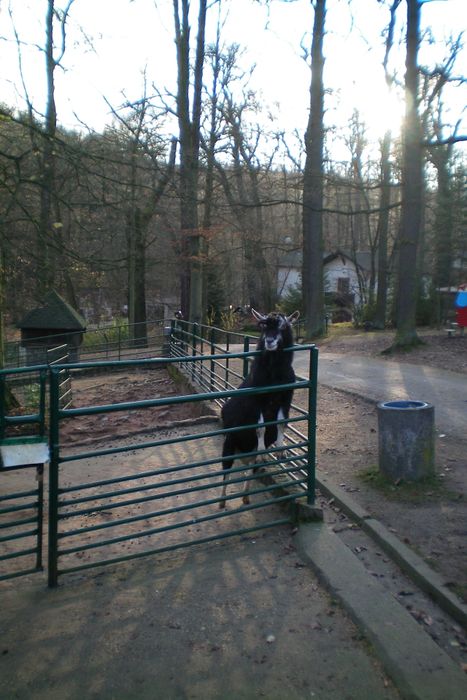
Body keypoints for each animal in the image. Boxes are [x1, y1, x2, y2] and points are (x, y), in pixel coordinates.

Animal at [219, 308, 300, 506]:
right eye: (262, 326)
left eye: (283, 326)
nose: (270, 341)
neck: (274, 376)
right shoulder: (257, 401)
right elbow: (260, 427)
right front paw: (265, 449)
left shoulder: (286, 398)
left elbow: (281, 423)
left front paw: (281, 450)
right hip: (229, 443)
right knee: (226, 470)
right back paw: (222, 501)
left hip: (248, 453)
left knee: (252, 467)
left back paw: (246, 497)